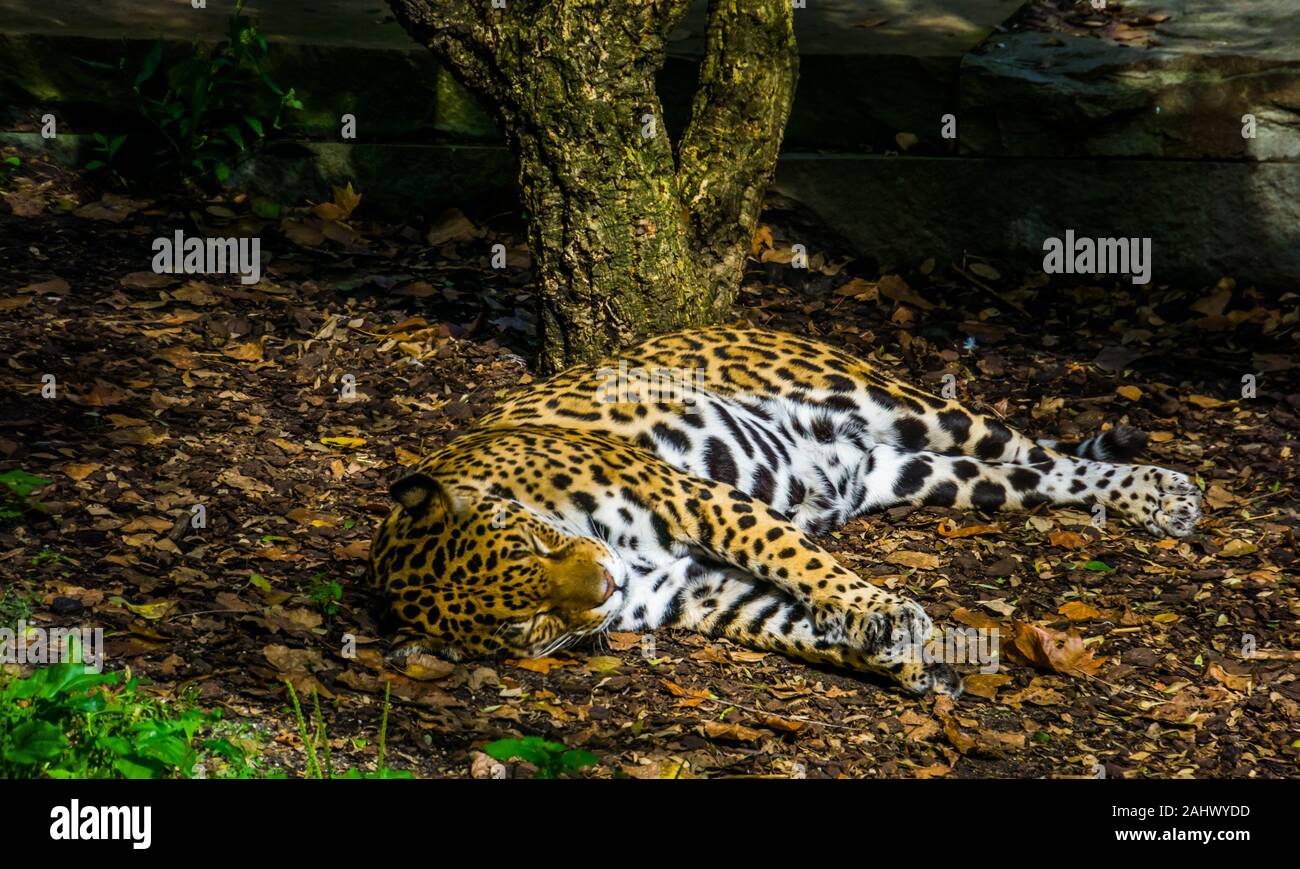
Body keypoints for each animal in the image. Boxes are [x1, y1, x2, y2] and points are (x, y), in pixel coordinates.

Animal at [369, 327, 1202, 695]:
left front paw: (883, 615)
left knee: (1036, 447)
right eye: (527, 623)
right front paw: (909, 662)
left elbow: (796, 557)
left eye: (534, 543)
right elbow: (797, 626)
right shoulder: (710, 596)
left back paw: (1165, 491)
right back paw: (1147, 497)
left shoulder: (695, 496)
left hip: (908, 406)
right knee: (1030, 475)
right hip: (921, 472)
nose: (605, 587)